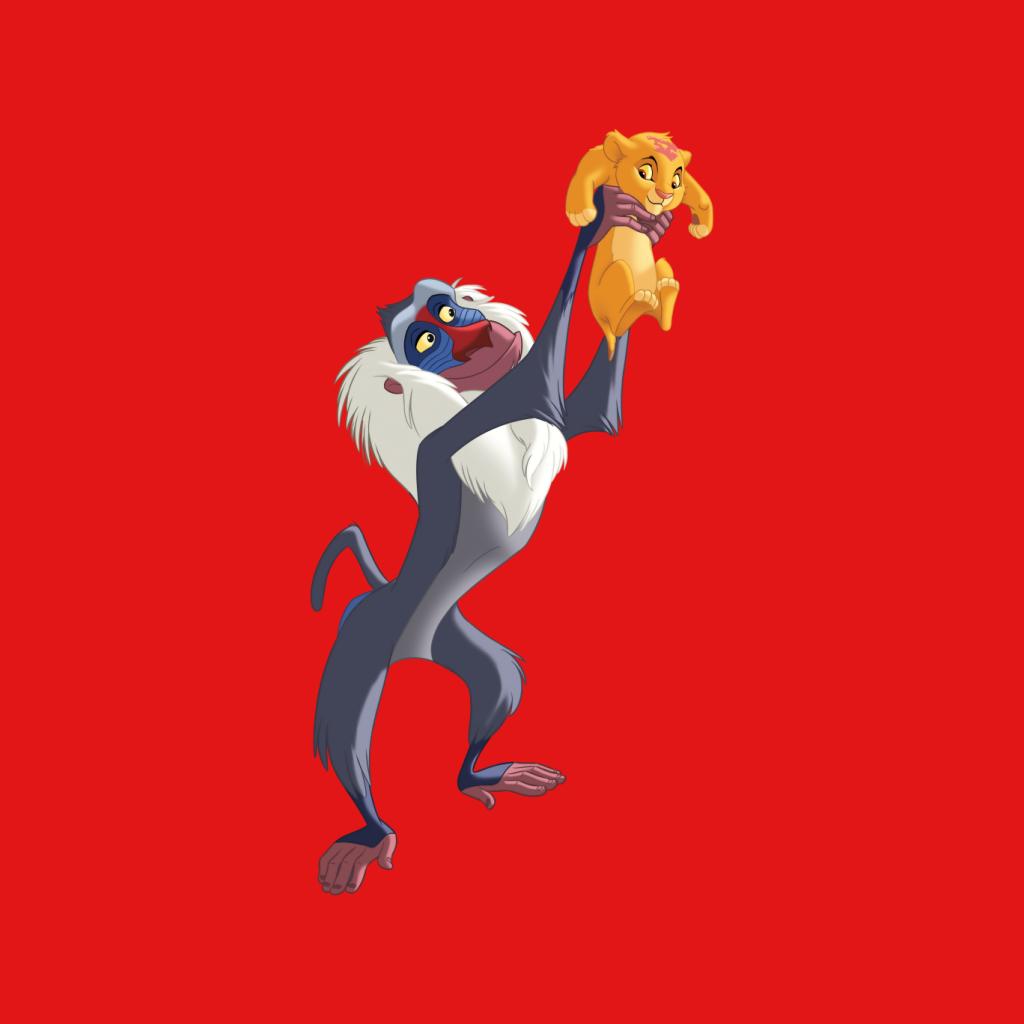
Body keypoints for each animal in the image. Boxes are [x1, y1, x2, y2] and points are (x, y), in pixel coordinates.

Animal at [566, 130, 713, 355]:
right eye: (645, 173)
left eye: (675, 182)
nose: (665, 195)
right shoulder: (604, 162)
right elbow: (587, 168)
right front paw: (581, 213)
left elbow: (697, 193)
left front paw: (702, 226)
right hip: (616, 276)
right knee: (618, 324)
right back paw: (639, 301)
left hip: (659, 268)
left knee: (660, 316)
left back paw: (667, 288)